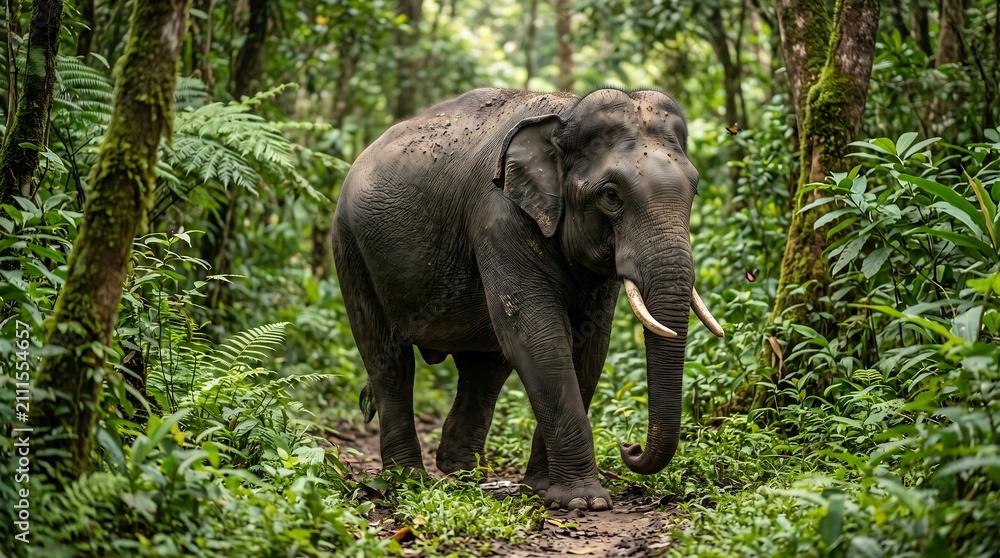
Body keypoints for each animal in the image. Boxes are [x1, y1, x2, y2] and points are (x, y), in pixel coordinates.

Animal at [332, 87, 724, 511]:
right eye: (611, 195)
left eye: (695, 189)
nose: (629, 447)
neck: (565, 116)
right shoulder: (499, 217)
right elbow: (539, 337)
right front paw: (584, 501)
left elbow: (589, 347)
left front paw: (543, 491)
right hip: (350, 247)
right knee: (389, 360)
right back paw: (408, 481)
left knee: (484, 369)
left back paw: (463, 475)